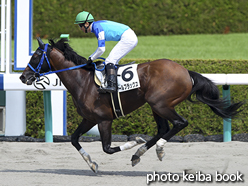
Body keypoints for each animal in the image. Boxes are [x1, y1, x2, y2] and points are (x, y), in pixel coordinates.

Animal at [19, 38, 244, 173]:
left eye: (36, 55)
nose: (23, 76)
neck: (83, 81)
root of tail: (186, 72)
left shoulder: (104, 119)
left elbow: (108, 148)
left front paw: (133, 141)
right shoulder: (89, 118)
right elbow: (74, 139)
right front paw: (92, 164)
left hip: (160, 103)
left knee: (180, 123)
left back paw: (155, 149)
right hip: (156, 105)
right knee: (163, 128)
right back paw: (139, 154)